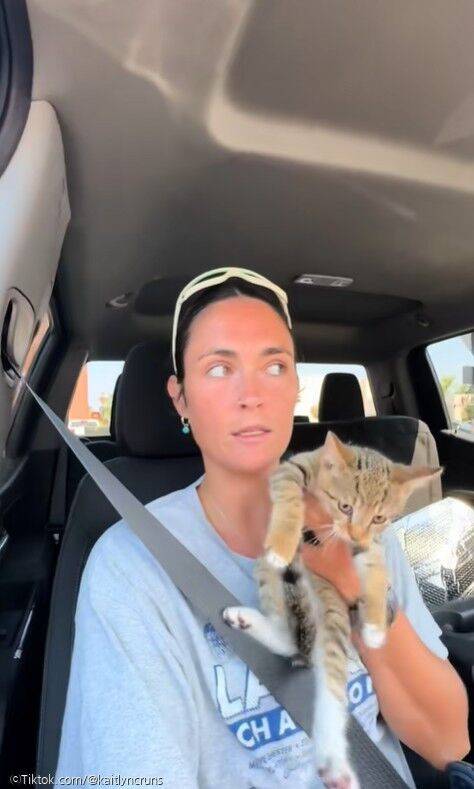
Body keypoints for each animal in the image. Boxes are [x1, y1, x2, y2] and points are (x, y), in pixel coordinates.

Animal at [222, 430, 443, 789]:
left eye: (379, 517)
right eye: (345, 506)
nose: (354, 532)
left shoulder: (368, 544)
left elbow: (375, 566)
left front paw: (376, 625)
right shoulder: (292, 468)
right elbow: (288, 493)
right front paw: (283, 541)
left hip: (333, 612)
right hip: (269, 573)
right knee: (295, 643)